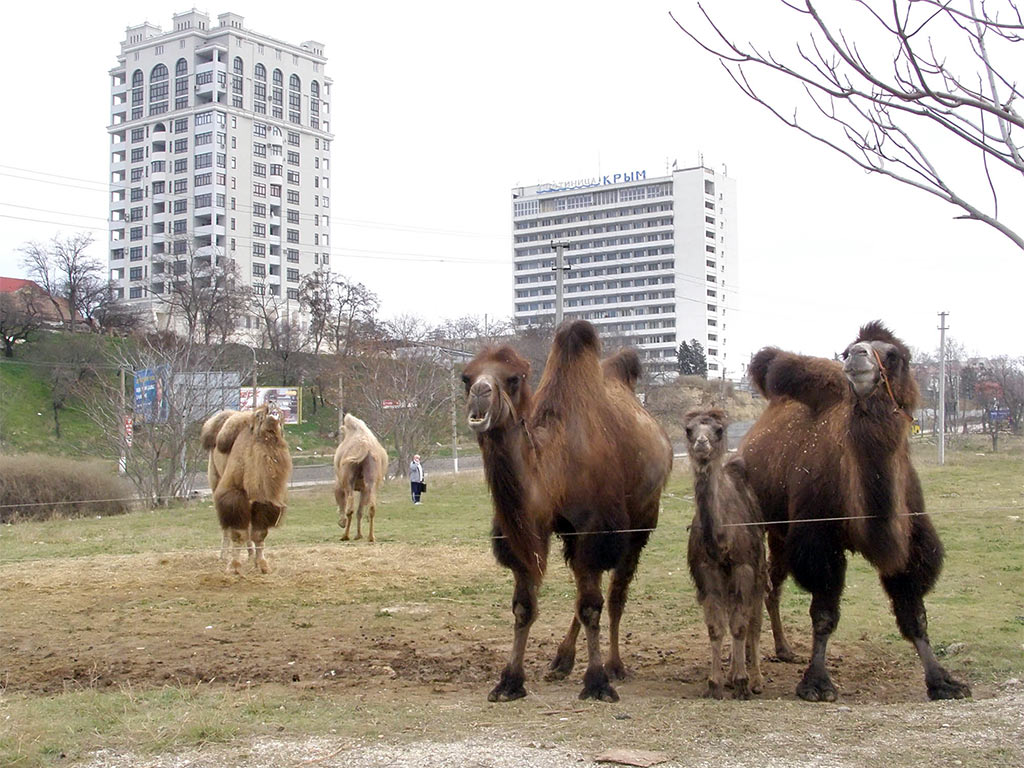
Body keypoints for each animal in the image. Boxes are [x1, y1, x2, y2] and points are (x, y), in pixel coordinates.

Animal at [209, 405, 292, 573]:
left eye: (281, 417)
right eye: (260, 415)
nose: (272, 406)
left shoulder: (265, 500)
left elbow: (259, 534)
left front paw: (262, 565)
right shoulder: (234, 494)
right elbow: (238, 533)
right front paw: (234, 566)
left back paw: (249, 555)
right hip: (215, 480)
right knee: (226, 526)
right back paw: (223, 556)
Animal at [333, 411, 389, 544]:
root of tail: (365, 447)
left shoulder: (339, 484)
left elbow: (343, 503)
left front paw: (342, 523)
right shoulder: (363, 489)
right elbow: (360, 511)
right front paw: (359, 535)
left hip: (348, 481)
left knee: (350, 508)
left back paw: (345, 536)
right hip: (371, 480)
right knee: (371, 507)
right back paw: (371, 537)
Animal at [462, 319, 671, 704]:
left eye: (515, 378)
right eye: (465, 377)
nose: (480, 393)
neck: (557, 465)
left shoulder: (598, 527)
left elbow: (592, 606)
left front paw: (598, 682)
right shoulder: (534, 528)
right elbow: (524, 606)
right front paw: (509, 682)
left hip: (641, 520)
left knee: (615, 593)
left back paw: (614, 665)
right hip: (577, 537)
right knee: (585, 588)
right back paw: (562, 660)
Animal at [684, 409, 765, 704]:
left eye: (718, 430)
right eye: (689, 430)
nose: (701, 443)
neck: (721, 543)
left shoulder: (745, 566)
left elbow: (741, 626)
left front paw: (743, 683)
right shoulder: (707, 569)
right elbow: (716, 627)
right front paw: (715, 683)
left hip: (760, 569)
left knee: (754, 621)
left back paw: (756, 679)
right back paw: (731, 675)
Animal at [741, 319, 970, 704]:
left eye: (895, 355)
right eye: (849, 349)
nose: (857, 357)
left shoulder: (911, 539)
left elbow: (914, 612)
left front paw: (943, 680)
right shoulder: (819, 539)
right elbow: (824, 614)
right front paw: (816, 683)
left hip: (782, 532)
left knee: (774, 582)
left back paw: (785, 649)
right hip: (764, 522)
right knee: (765, 584)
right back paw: (771, 652)